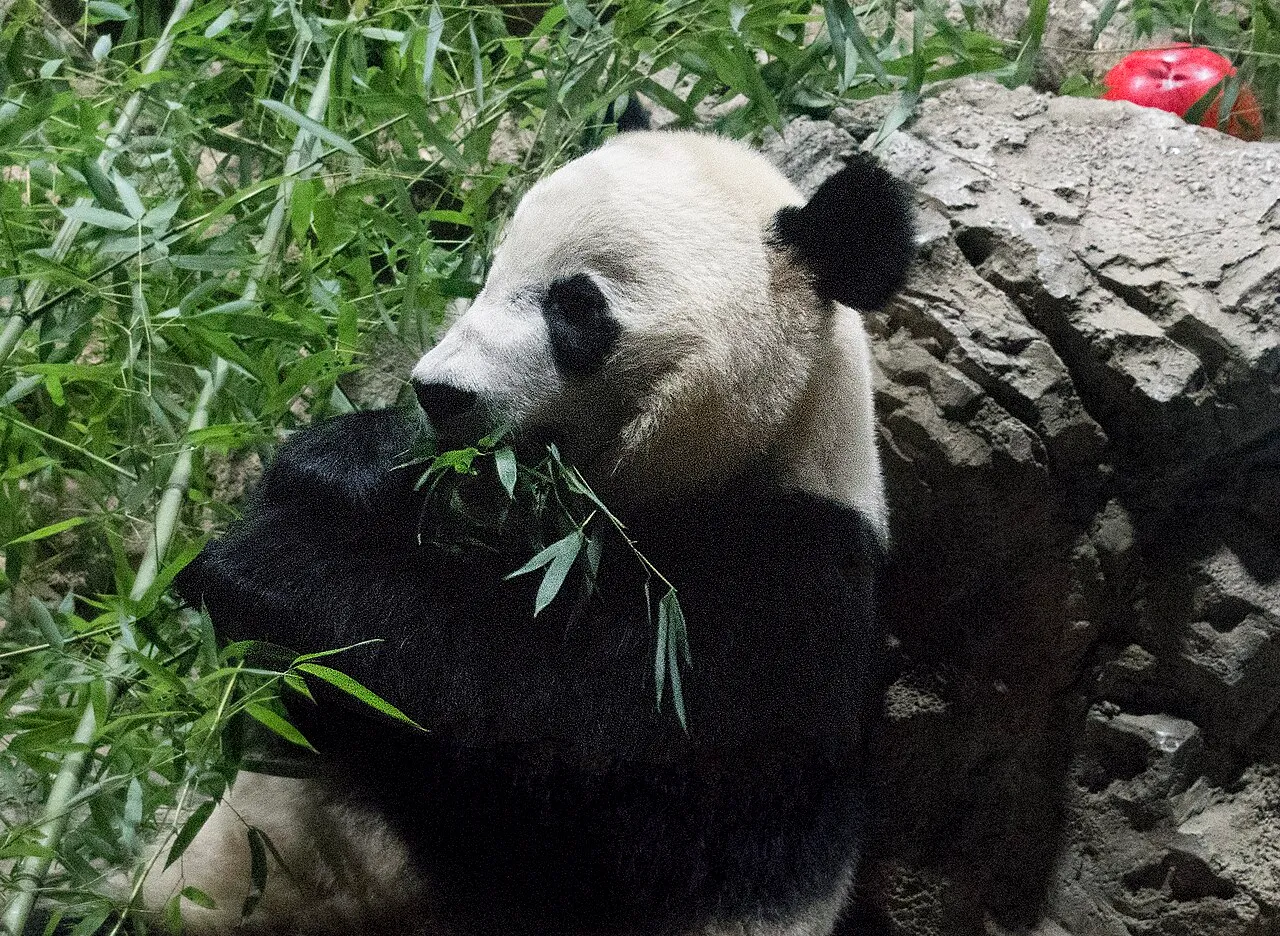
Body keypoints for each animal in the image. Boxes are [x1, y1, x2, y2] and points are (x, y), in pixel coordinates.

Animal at [146, 130, 915, 936]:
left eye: (575, 305)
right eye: (490, 271)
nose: (439, 392)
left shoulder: (783, 594)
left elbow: (583, 789)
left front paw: (270, 566)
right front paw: (351, 464)